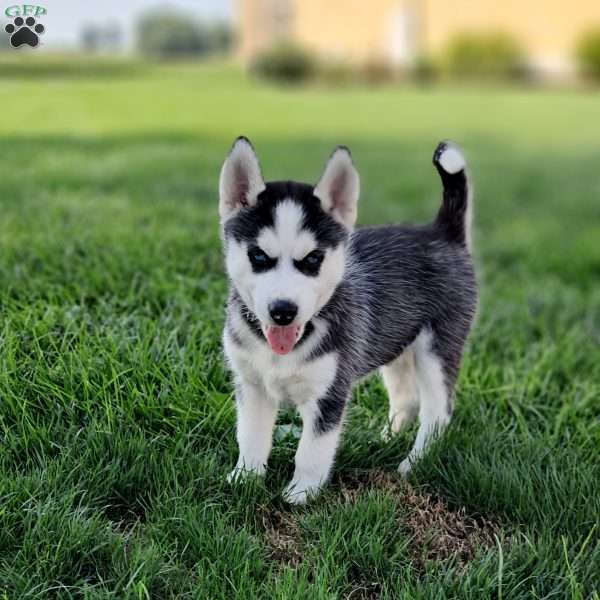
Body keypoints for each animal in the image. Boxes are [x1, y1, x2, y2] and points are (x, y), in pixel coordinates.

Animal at [218, 136, 476, 502]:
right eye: (258, 256)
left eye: (313, 259)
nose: (283, 311)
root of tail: (442, 231)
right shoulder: (252, 386)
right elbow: (251, 436)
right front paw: (245, 478)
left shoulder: (329, 394)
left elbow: (311, 451)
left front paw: (301, 493)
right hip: (394, 342)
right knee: (407, 399)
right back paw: (386, 439)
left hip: (437, 348)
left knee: (437, 413)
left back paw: (413, 463)